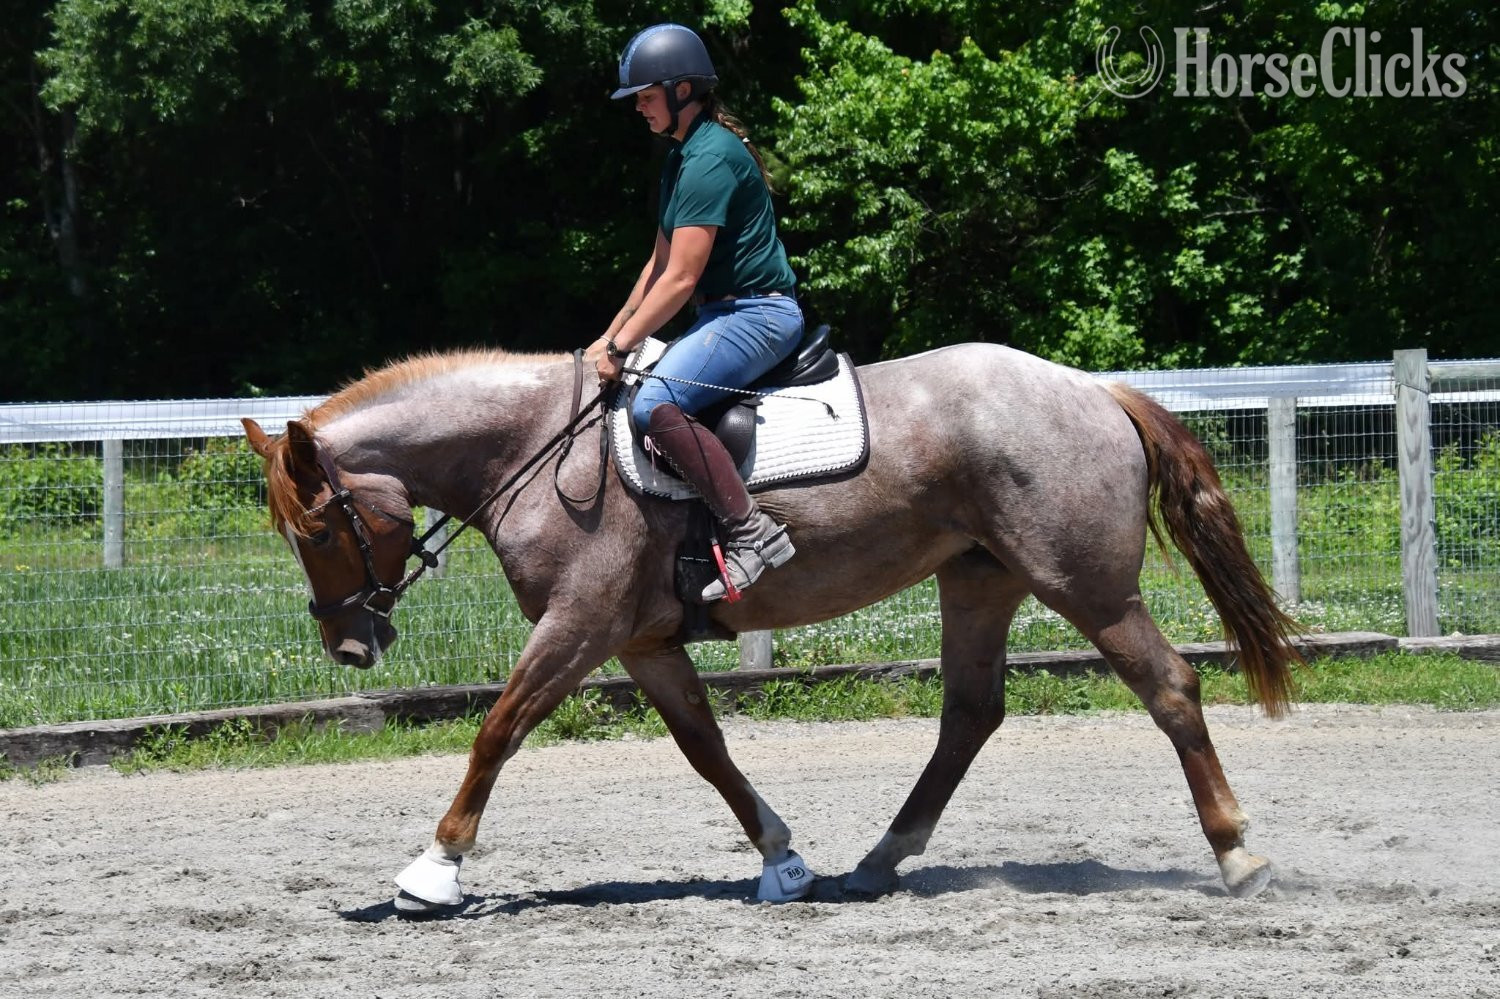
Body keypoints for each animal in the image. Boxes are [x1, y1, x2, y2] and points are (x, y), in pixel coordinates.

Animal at [241, 340, 1301, 914]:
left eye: (319, 528)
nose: (349, 644)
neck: (538, 450)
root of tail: (1092, 387)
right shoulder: (643, 642)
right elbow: (708, 751)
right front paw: (784, 861)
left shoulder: (580, 626)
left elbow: (497, 731)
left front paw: (434, 869)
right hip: (981, 583)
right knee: (969, 715)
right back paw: (875, 863)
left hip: (1088, 587)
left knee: (1169, 688)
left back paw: (1239, 854)